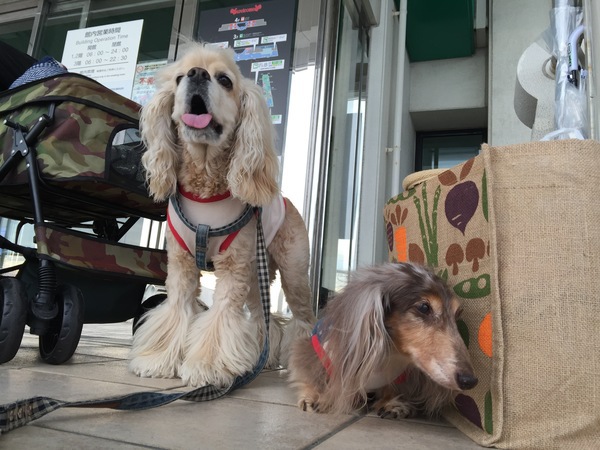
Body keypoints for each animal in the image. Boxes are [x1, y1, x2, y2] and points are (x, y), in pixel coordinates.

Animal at [129, 43, 316, 386]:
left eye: (225, 80)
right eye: (179, 78)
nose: (197, 74)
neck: (205, 184)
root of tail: (284, 199)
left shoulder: (233, 267)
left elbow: (221, 316)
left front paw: (207, 366)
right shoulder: (181, 264)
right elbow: (177, 309)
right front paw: (156, 359)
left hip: (294, 270)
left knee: (304, 318)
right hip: (257, 273)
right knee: (263, 318)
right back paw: (262, 358)